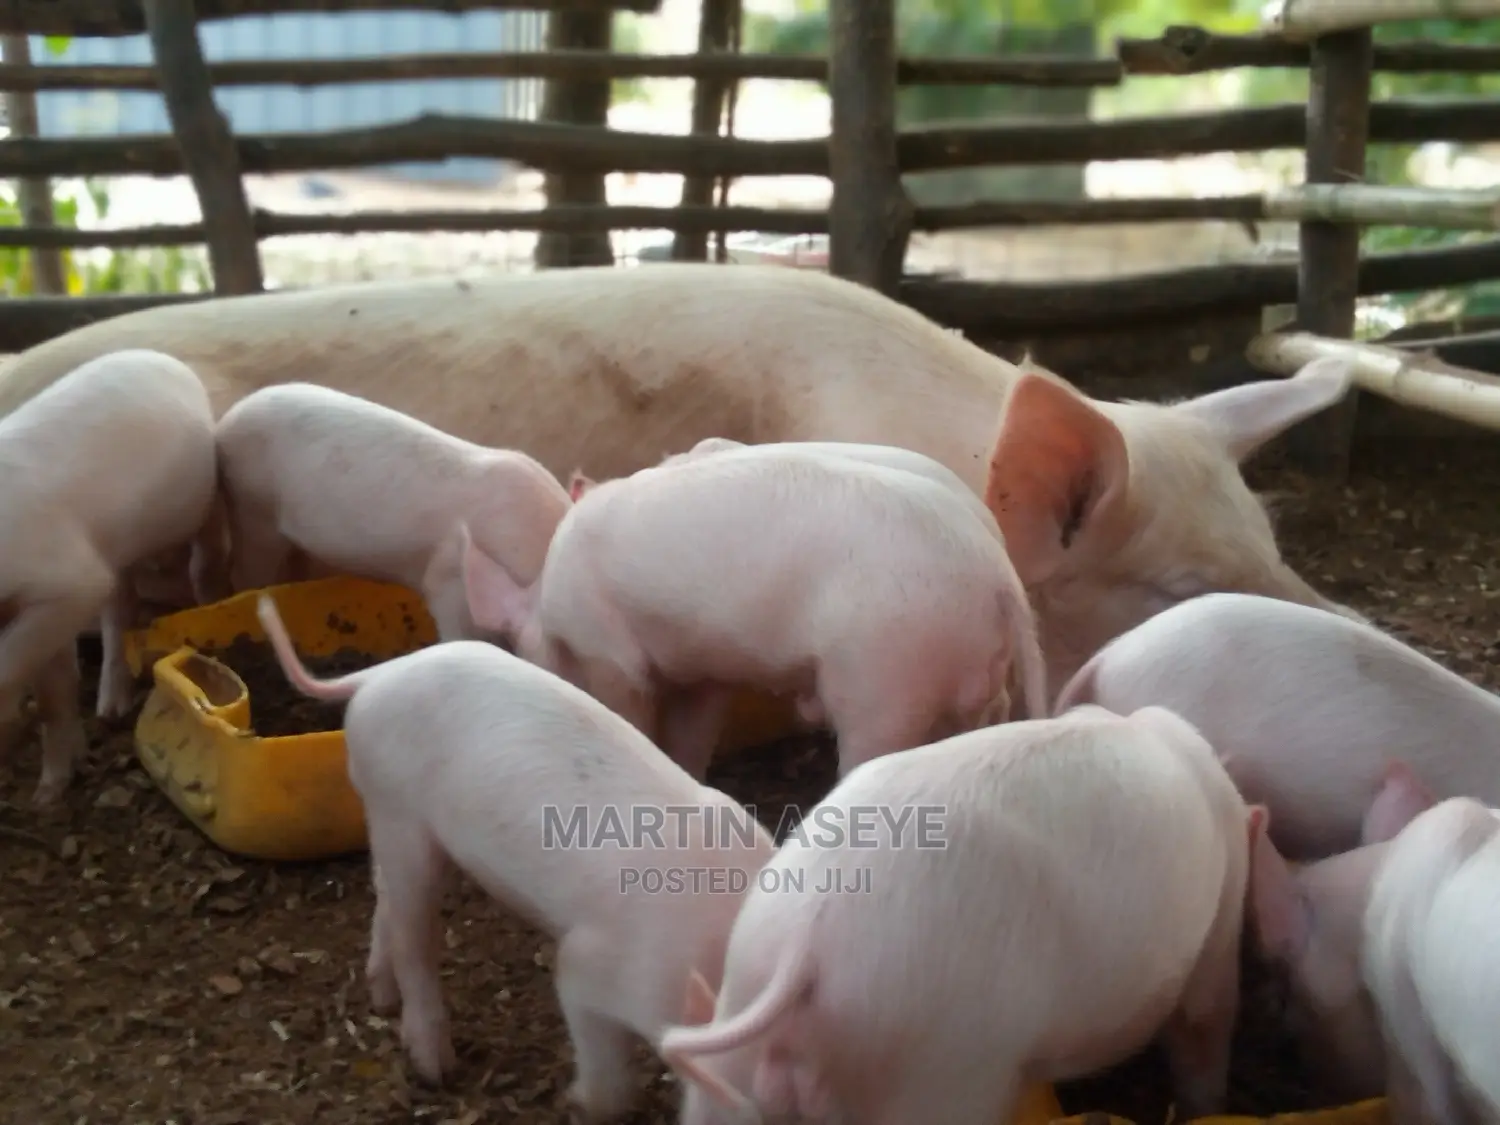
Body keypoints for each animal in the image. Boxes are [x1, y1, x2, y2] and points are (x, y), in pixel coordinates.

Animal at [0, 348, 221, 804]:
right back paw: (109, 712)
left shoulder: (69, 582)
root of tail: (161, 356)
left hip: (203, 495)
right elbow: (54, 693)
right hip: (119, 553)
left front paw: (43, 798)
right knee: (120, 611)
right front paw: (50, 793)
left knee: (203, 554)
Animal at [254, 592, 777, 1120]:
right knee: (413, 936)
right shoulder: (597, 967)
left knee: (387, 900)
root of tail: (378, 675)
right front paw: (579, 1102)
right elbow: (604, 1065)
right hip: (398, 809)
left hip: (396, 821)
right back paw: (434, 1069)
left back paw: (381, 1000)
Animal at [461, 445, 1047, 780]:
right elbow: (692, 735)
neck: (550, 606)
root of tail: (999, 577)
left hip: (884, 674)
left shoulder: (607, 645)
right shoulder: (704, 669)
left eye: (521, 655)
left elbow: (628, 706)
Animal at [657, 704, 1259, 1125]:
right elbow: (1207, 1017)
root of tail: (806, 942)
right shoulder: (1221, 919)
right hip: (943, 1065)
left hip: (739, 1026)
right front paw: (1209, 1106)